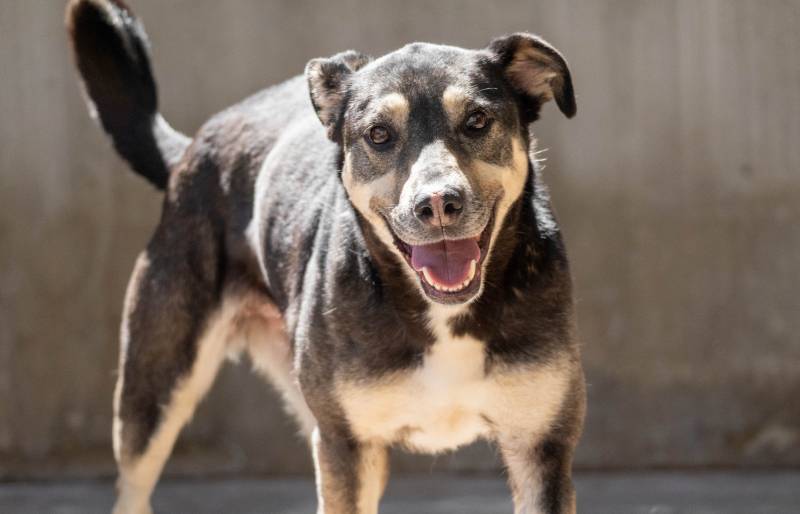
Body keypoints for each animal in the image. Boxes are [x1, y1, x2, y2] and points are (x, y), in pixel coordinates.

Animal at [65, 2, 584, 510]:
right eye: (379, 134)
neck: (442, 317)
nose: (438, 204)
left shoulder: (540, 446)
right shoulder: (345, 445)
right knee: (133, 486)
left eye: (477, 121)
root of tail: (192, 148)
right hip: (153, 392)